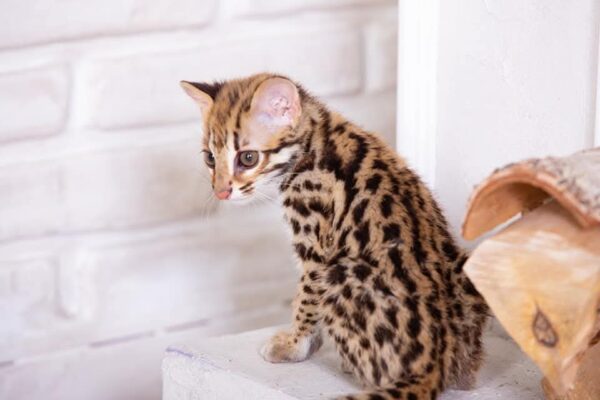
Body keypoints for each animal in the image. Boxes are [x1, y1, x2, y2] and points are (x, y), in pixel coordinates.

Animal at [180, 73, 490, 398]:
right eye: (209, 158)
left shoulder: (316, 250)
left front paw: (294, 346)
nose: (221, 192)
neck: (315, 137)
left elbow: (304, 300)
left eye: (248, 158)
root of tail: (435, 363)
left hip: (339, 272)